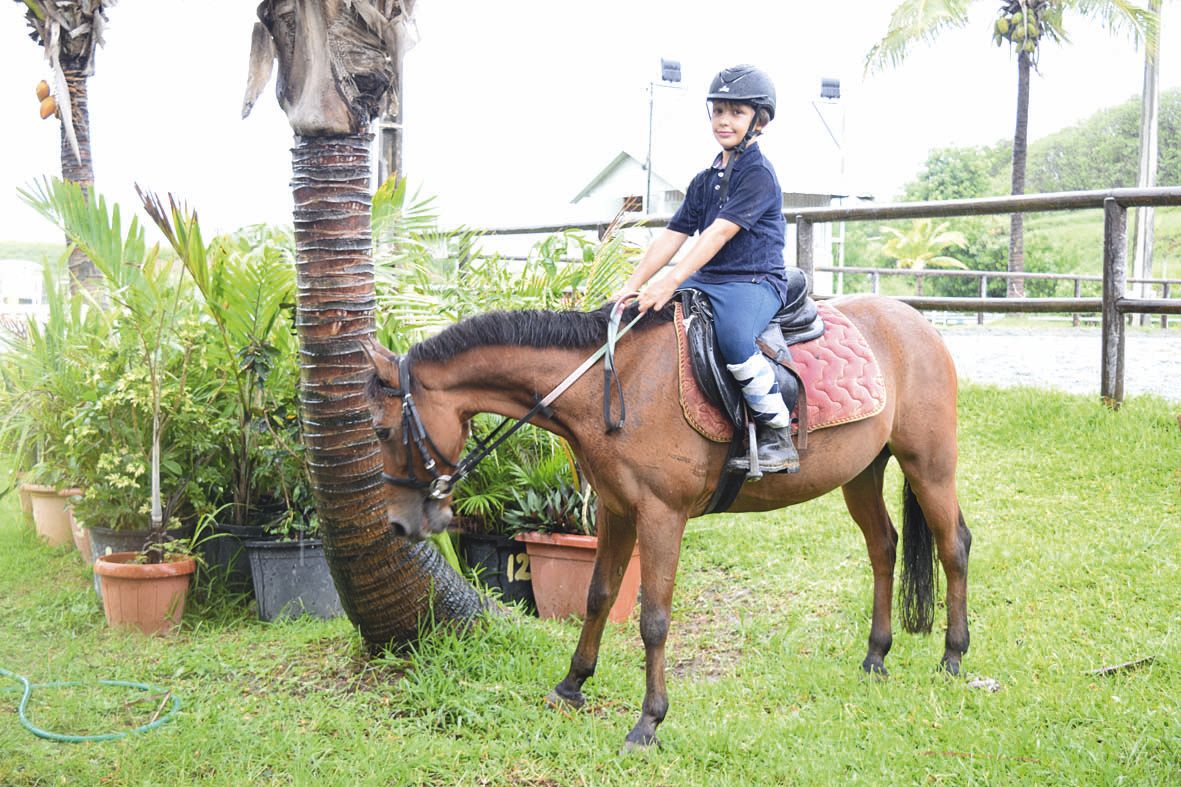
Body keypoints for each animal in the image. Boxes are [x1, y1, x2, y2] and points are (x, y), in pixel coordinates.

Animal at [359, 294, 968, 746]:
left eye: (382, 431)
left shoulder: (660, 516)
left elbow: (653, 619)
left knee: (953, 545)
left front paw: (649, 721)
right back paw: (876, 656)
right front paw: (572, 686)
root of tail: (918, 323)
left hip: (929, 462)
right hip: (863, 471)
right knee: (884, 547)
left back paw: (953, 657)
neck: (610, 381)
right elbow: (598, 596)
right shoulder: (615, 511)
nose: (398, 526)